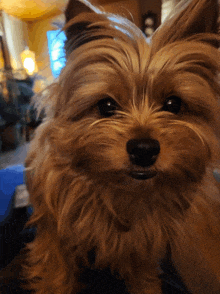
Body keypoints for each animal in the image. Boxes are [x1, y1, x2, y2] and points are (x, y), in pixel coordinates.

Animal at [22, 0, 220, 294]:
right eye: (106, 106)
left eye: (173, 104)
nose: (144, 149)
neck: (119, 192)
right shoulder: (53, 236)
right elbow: (56, 276)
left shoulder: (141, 243)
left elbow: (143, 277)